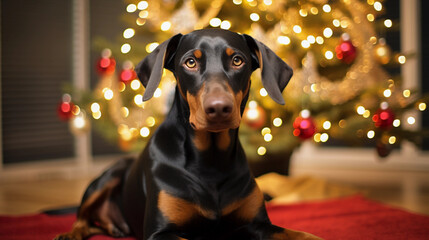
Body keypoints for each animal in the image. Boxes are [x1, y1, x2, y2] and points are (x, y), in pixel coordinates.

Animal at [54, 29, 320, 240]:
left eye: (237, 60)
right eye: (190, 62)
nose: (219, 108)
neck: (211, 159)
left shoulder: (257, 225)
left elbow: (301, 234)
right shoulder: (160, 233)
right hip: (107, 177)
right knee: (82, 218)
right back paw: (71, 234)